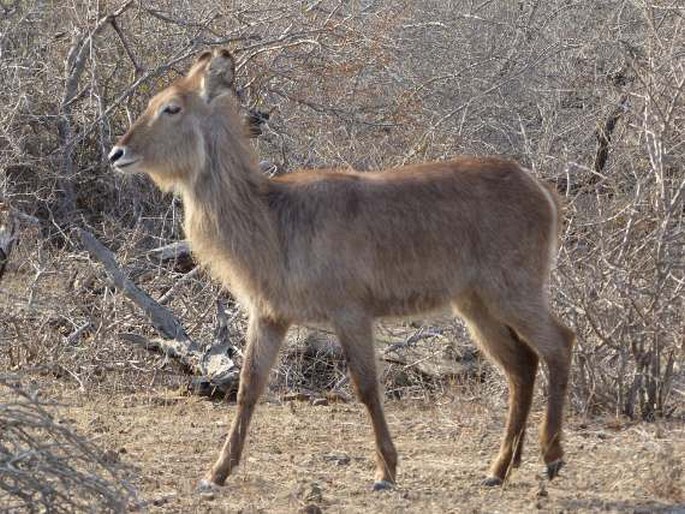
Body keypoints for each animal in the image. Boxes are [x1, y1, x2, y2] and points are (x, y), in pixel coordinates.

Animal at [109, 48, 576, 488]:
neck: (271, 214)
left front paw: (386, 471)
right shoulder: (270, 316)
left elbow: (366, 387)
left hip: (514, 291)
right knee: (521, 366)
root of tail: (539, 187)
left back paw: (551, 457)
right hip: (476, 305)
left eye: (172, 107)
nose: (117, 152)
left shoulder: (350, 312)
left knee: (559, 343)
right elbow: (247, 388)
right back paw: (499, 468)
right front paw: (217, 472)